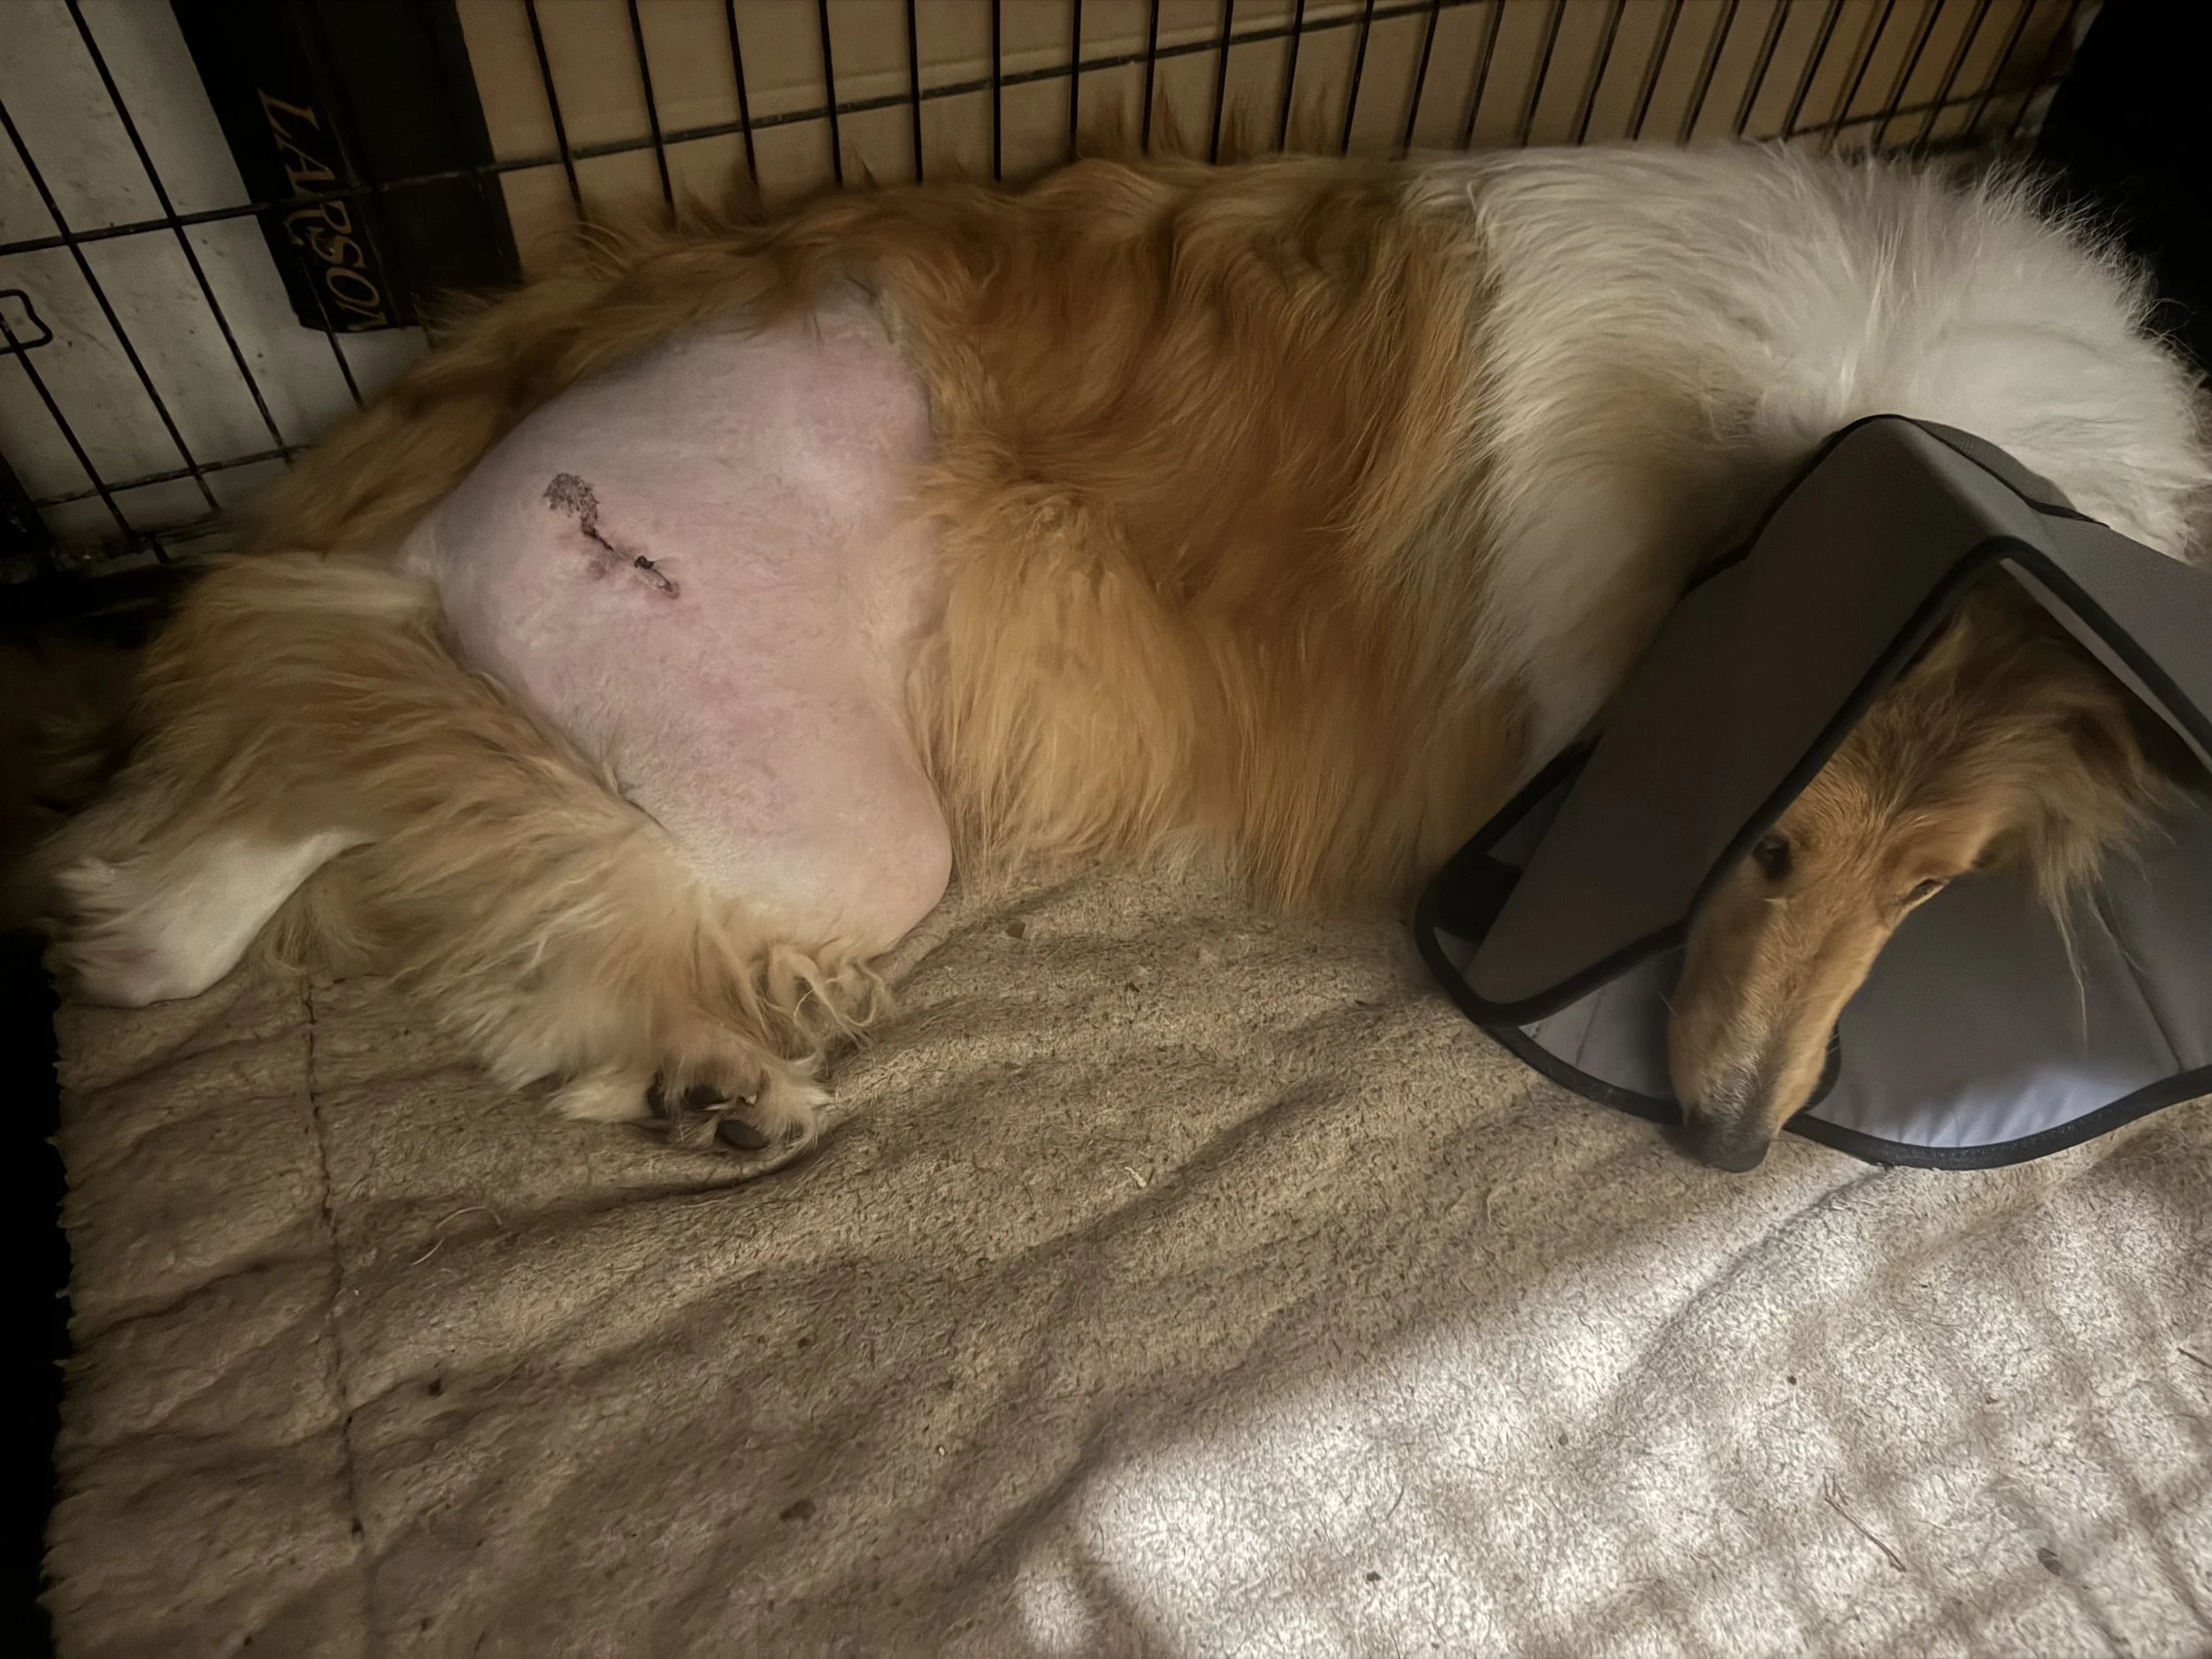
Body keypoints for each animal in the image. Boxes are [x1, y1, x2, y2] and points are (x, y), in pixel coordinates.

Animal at [42, 142, 2209, 1173]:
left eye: (1932, 885)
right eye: (1759, 843)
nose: (1730, 1146)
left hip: (750, 797)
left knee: (493, 870)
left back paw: (705, 1083)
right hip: (802, 783)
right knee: (317, 729)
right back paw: (139, 922)